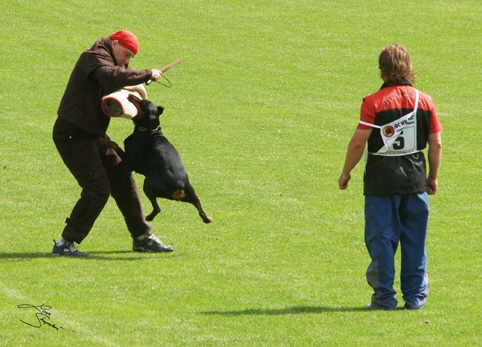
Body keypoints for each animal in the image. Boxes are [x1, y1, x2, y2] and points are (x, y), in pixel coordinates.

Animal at [121, 94, 212, 224]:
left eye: (142, 102)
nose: (130, 95)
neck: (149, 130)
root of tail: (180, 184)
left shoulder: (131, 163)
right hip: (193, 195)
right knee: (201, 211)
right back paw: (207, 219)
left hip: (148, 185)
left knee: (157, 208)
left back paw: (148, 217)